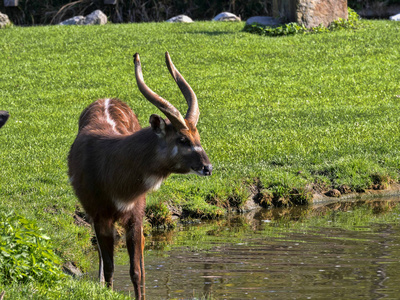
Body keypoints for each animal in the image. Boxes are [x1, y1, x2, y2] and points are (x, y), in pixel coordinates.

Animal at [68, 51, 212, 298]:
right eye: (182, 139)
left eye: (198, 137)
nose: (207, 167)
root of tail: (107, 99)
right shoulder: (99, 215)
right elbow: (110, 267)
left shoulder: (135, 215)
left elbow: (137, 271)